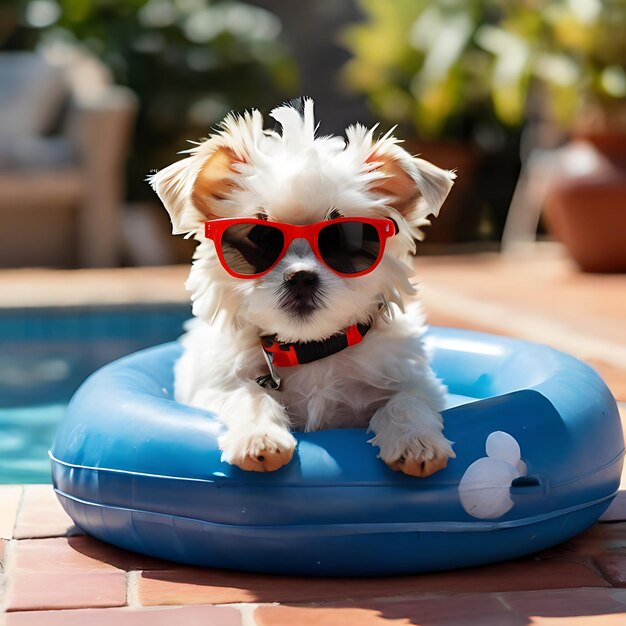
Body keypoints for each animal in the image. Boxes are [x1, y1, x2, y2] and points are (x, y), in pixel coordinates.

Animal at [150, 98, 454, 472]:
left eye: (344, 239)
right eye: (259, 236)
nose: (300, 276)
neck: (310, 349)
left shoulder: (416, 381)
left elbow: (407, 400)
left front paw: (415, 440)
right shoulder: (212, 388)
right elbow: (248, 394)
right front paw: (260, 437)